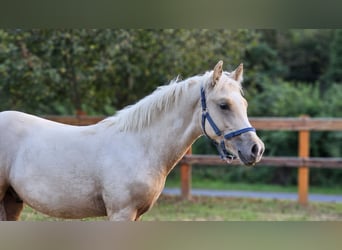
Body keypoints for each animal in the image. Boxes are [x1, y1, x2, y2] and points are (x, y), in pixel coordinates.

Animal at [0, 60, 264, 221]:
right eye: (223, 104)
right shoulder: (121, 213)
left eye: (244, 104)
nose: (256, 149)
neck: (140, 147)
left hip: (11, 202)